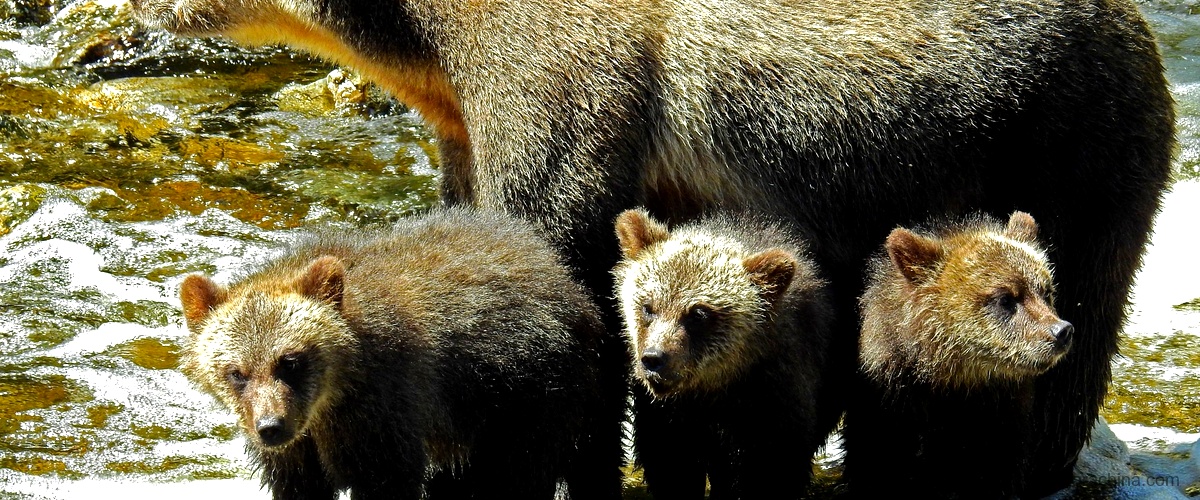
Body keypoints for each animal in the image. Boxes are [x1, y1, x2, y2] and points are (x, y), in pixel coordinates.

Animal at [177, 207, 623, 500]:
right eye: (237, 372)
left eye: (291, 361)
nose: (271, 426)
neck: (331, 400)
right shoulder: (298, 454)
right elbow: (298, 484)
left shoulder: (383, 413)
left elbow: (389, 480)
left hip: (530, 394)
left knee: (520, 473)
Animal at [612, 209, 839, 500]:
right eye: (648, 306)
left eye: (698, 314)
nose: (654, 359)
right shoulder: (668, 419)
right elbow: (672, 467)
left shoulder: (774, 401)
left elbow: (772, 471)